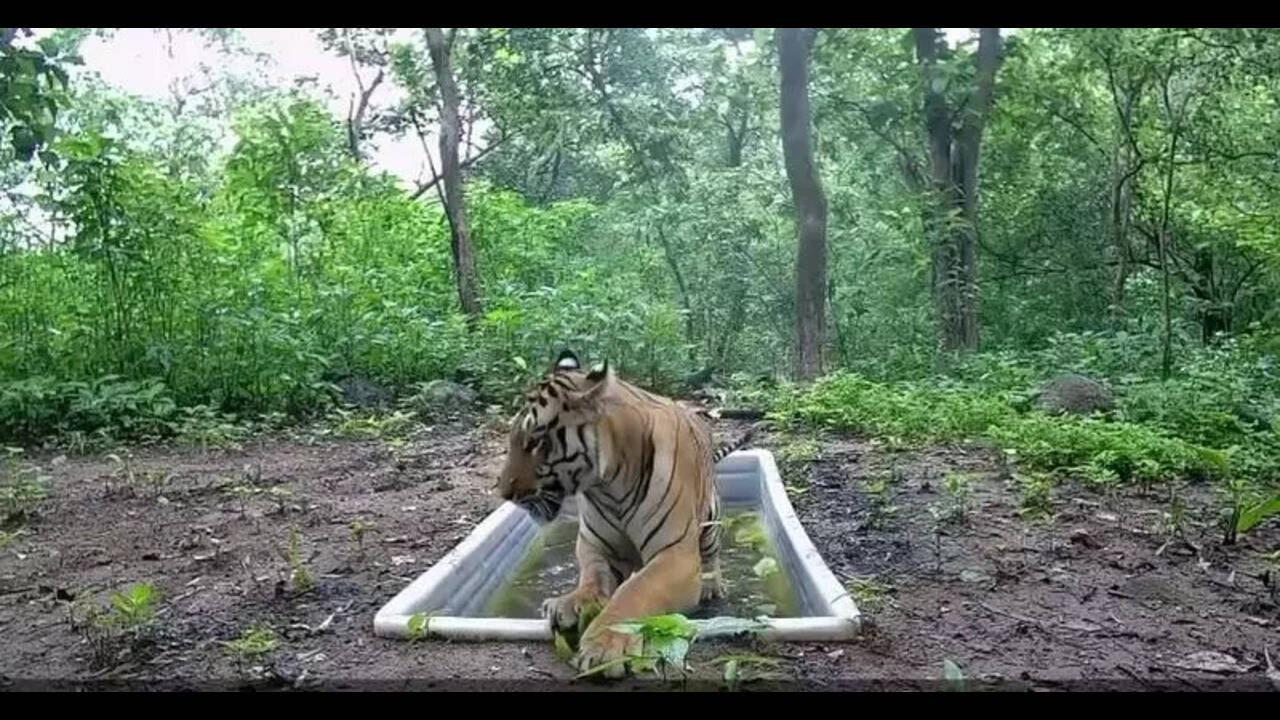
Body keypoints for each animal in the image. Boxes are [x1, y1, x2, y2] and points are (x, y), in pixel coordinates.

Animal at [496, 350, 757, 676]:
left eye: (535, 441)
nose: (503, 492)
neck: (608, 485)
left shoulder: (675, 554)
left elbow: (634, 592)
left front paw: (604, 645)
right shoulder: (595, 544)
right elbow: (592, 577)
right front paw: (569, 603)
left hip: (710, 522)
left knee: (712, 558)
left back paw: (712, 587)